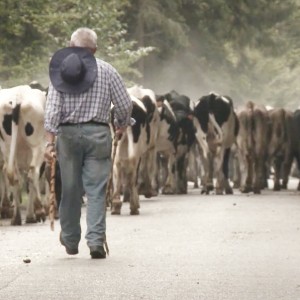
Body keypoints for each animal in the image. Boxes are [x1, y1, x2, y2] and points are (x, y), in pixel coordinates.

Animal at [0, 84, 47, 225]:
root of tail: (17, 98)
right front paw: (33, 215)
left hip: (7, 147)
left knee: (13, 176)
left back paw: (15, 217)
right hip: (37, 146)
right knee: (33, 173)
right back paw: (39, 210)